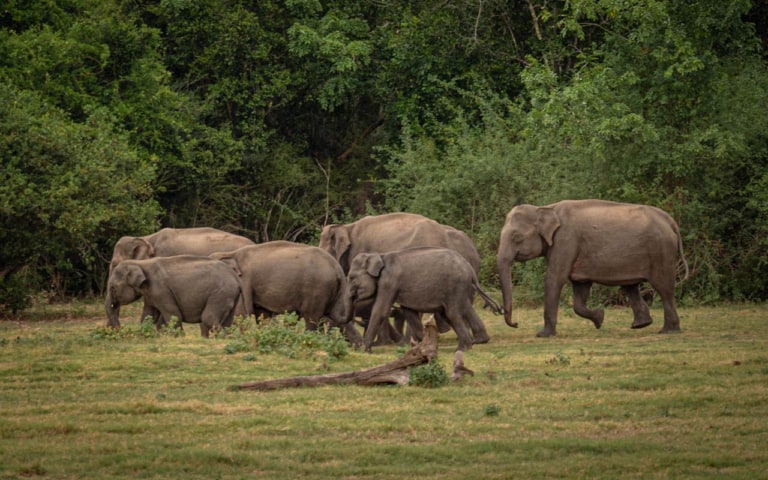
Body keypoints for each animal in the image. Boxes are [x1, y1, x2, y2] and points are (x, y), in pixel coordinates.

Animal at [105, 255, 242, 337]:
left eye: (112, 288)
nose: (119, 328)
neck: (140, 263)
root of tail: (235, 276)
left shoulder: (161, 290)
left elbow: (173, 315)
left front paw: (180, 337)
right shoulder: (150, 294)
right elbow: (149, 316)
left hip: (221, 292)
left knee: (208, 318)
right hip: (230, 295)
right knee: (227, 320)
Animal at [210, 241, 363, 346]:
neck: (230, 253)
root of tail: (337, 268)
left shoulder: (245, 281)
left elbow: (241, 313)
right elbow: (262, 315)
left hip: (317, 290)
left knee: (311, 319)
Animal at [344, 247, 501, 353]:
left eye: (351, 278)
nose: (355, 346)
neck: (379, 255)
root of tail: (470, 268)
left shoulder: (389, 282)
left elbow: (381, 310)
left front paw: (364, 349)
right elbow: (409, 312)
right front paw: (421, 345)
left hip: (456, 286)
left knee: (452, 313)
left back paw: (463, 348)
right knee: (456, 311)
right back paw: (474, 342)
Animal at [496, 199, 689, 337]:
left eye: (516, 237)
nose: (516, 324)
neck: (546, 208)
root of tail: (670, 221)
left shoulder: (565, 241)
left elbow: (554, 278)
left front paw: (543, 335)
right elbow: (580, 289)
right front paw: (600, 318)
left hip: (661, 251)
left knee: (664, 288)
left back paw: (668, 331)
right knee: (631, 286)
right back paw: (641, 325)